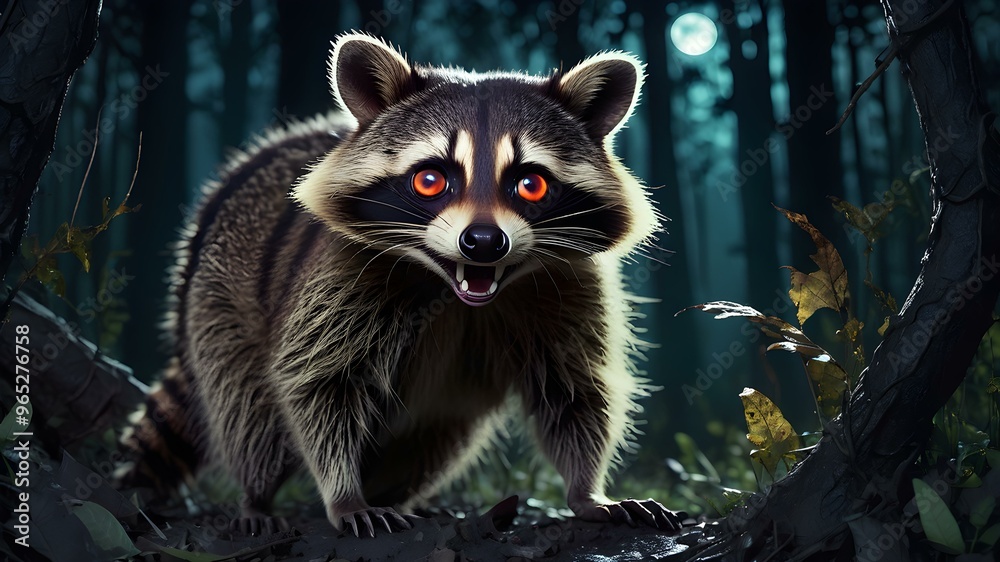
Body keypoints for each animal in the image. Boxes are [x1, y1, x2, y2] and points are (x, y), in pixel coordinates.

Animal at [119, 32, 677, 536]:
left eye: (531, 183)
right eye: (430, 180)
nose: (483, 242)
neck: (457, 289)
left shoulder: (565, 283)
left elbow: (574, 388)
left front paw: (586, 491)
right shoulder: (339, 278)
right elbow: (316, 383)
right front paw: (342, 493)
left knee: (432, 440)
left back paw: (399, 495)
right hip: (216, 306)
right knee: (245, 409)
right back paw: (257, 495)